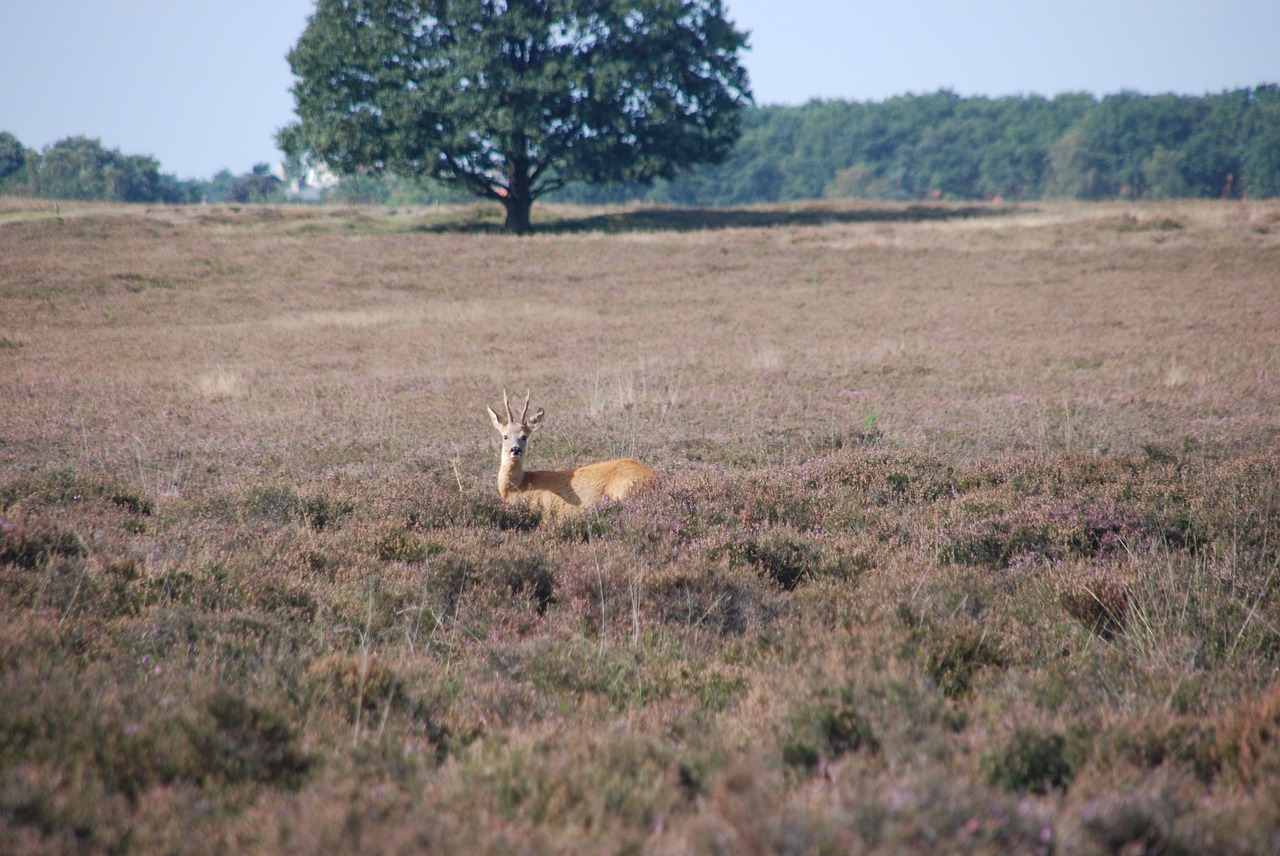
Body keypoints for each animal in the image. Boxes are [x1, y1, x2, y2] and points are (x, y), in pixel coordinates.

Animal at [483, 388, 655, 522]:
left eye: (524, 436)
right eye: (505, 436)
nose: (515, 450)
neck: (518, 486)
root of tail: (656, 480)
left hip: (623, 490)